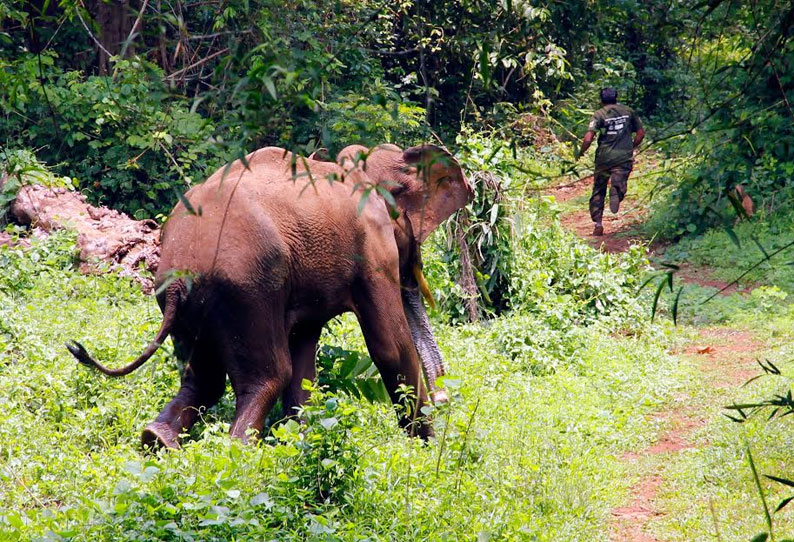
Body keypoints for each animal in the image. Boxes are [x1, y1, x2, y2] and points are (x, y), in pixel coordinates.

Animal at [68, 143, 470, 450]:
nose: (445, 401)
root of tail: (183, 273)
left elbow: (305, 353)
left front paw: (304, 442)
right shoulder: (373, 249)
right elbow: (389, 347)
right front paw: (426, 447)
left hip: (187, 299)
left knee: (205, 378)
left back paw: (156, 439)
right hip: (248, 289)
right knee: (270, 373)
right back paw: (238, 450)